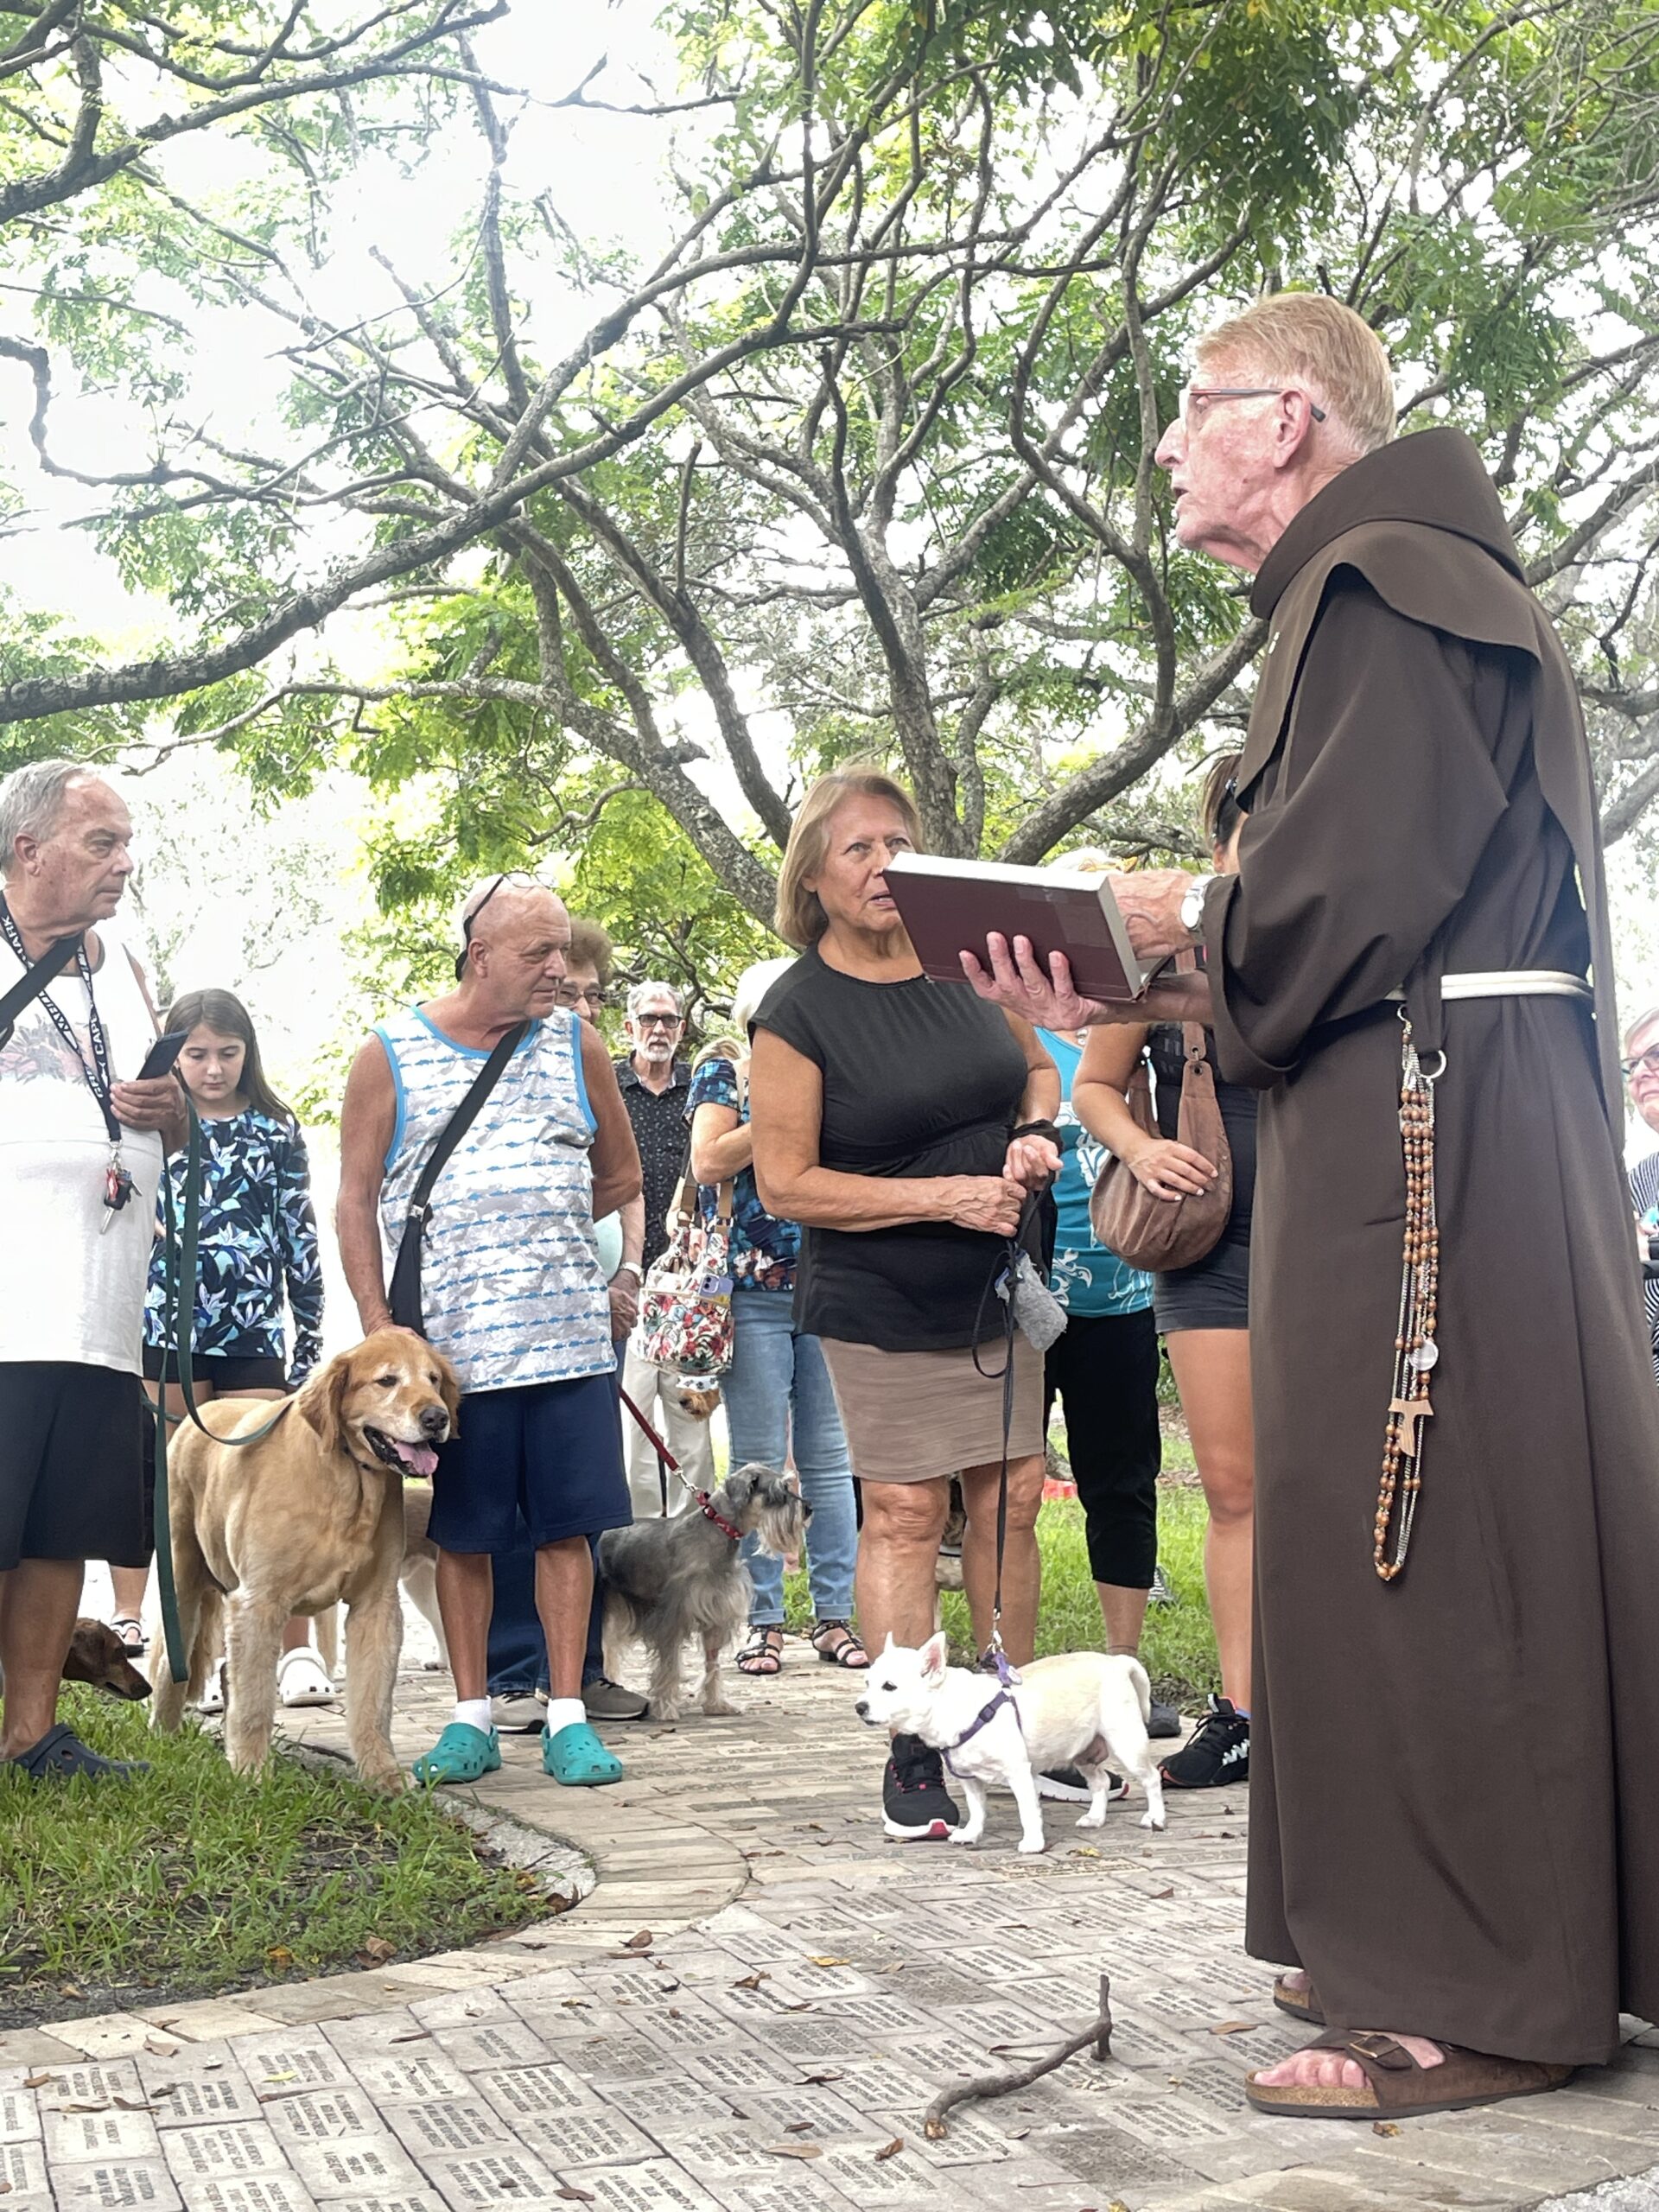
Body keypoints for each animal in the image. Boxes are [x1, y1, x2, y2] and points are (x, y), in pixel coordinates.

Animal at [858, 1628, 1167, 1849]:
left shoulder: (1019, 1773)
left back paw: (1156, 1817)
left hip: (1126, 1743)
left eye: (890, 1687)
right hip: (1084, 1753)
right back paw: (1095, 1818)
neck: (952, 1707)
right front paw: (971, 1834)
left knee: (1151, 1778)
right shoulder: (969, 1779)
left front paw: (1032, 1843)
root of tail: (1117, 1662)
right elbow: (977, 1808)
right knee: (1100, 1781)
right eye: (867, 1683)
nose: (859, 1706)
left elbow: (1027, 1810)